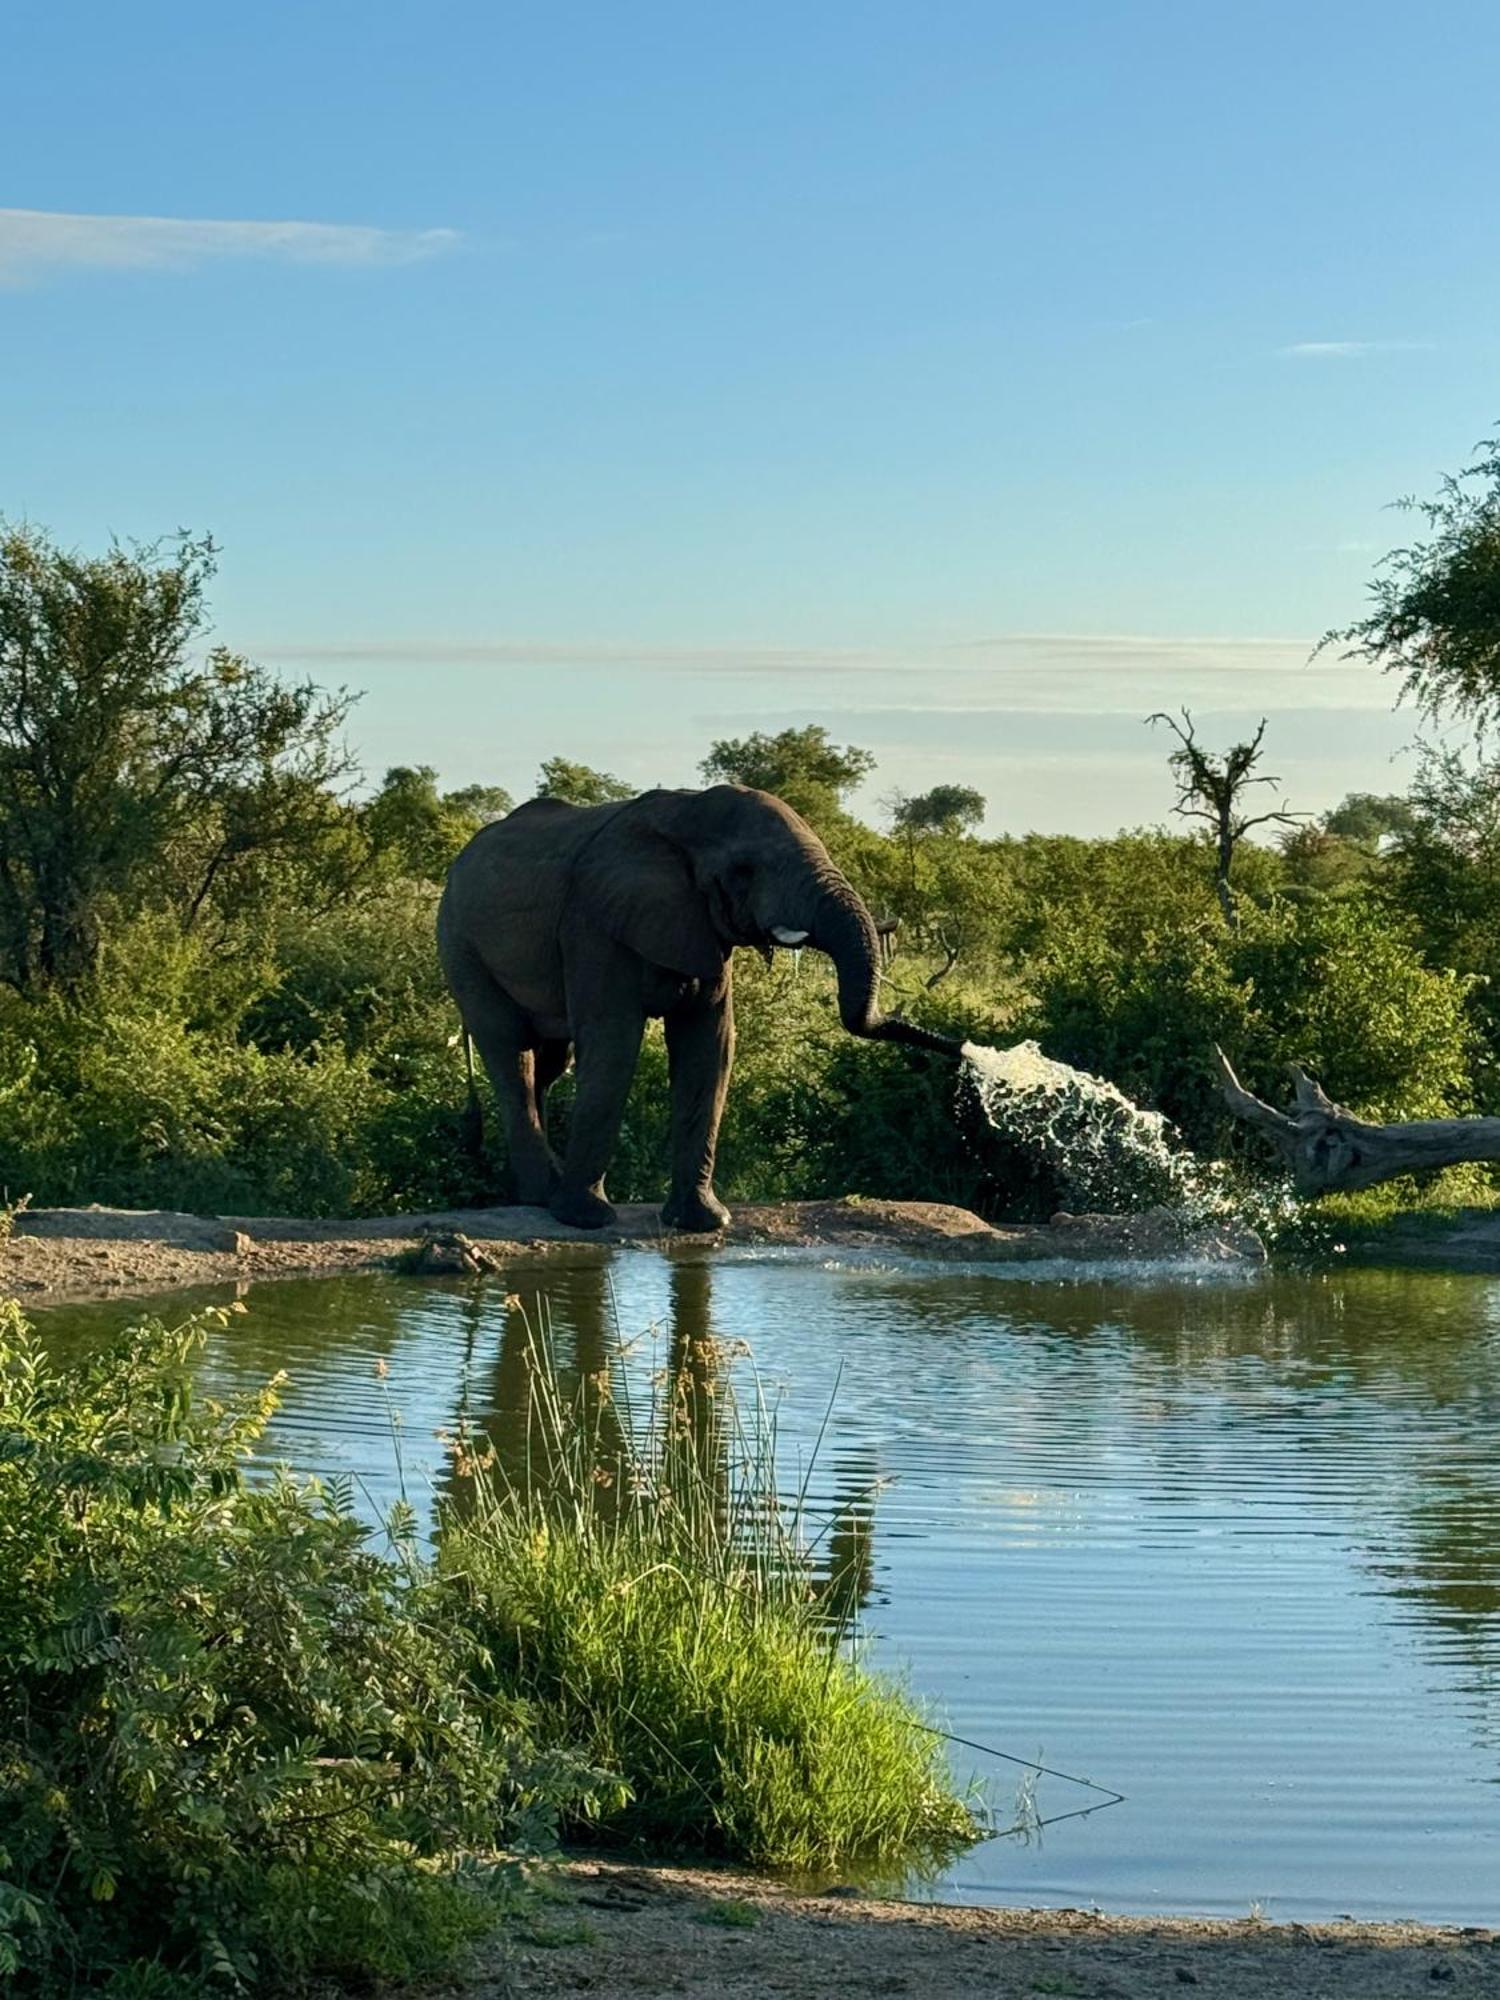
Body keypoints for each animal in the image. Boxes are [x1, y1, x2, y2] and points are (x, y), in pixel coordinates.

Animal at [434, 784, 964, 1232]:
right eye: (744, 870)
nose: (963, 1047)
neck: (686, 813)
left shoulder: (703, 930)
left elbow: (710, 1046)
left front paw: (705, 1223)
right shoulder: (592, 922)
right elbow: (613, 1044)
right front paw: (587, 1219)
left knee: (549, 1061)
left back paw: (542, 1190)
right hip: (459, 944)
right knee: (510, 1050)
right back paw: (543, 1196)